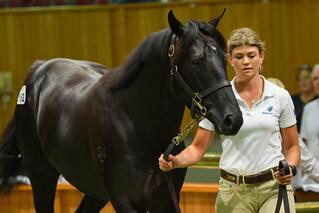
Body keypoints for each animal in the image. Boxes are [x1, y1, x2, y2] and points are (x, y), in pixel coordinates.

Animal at [0, 10, 242, 213]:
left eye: (225, 58)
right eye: (196, 61)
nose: (232, 119)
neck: (140, 129)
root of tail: (38, 69)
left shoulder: (164, 201)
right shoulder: (124, 201)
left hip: (95, 191)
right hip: (42, 176)